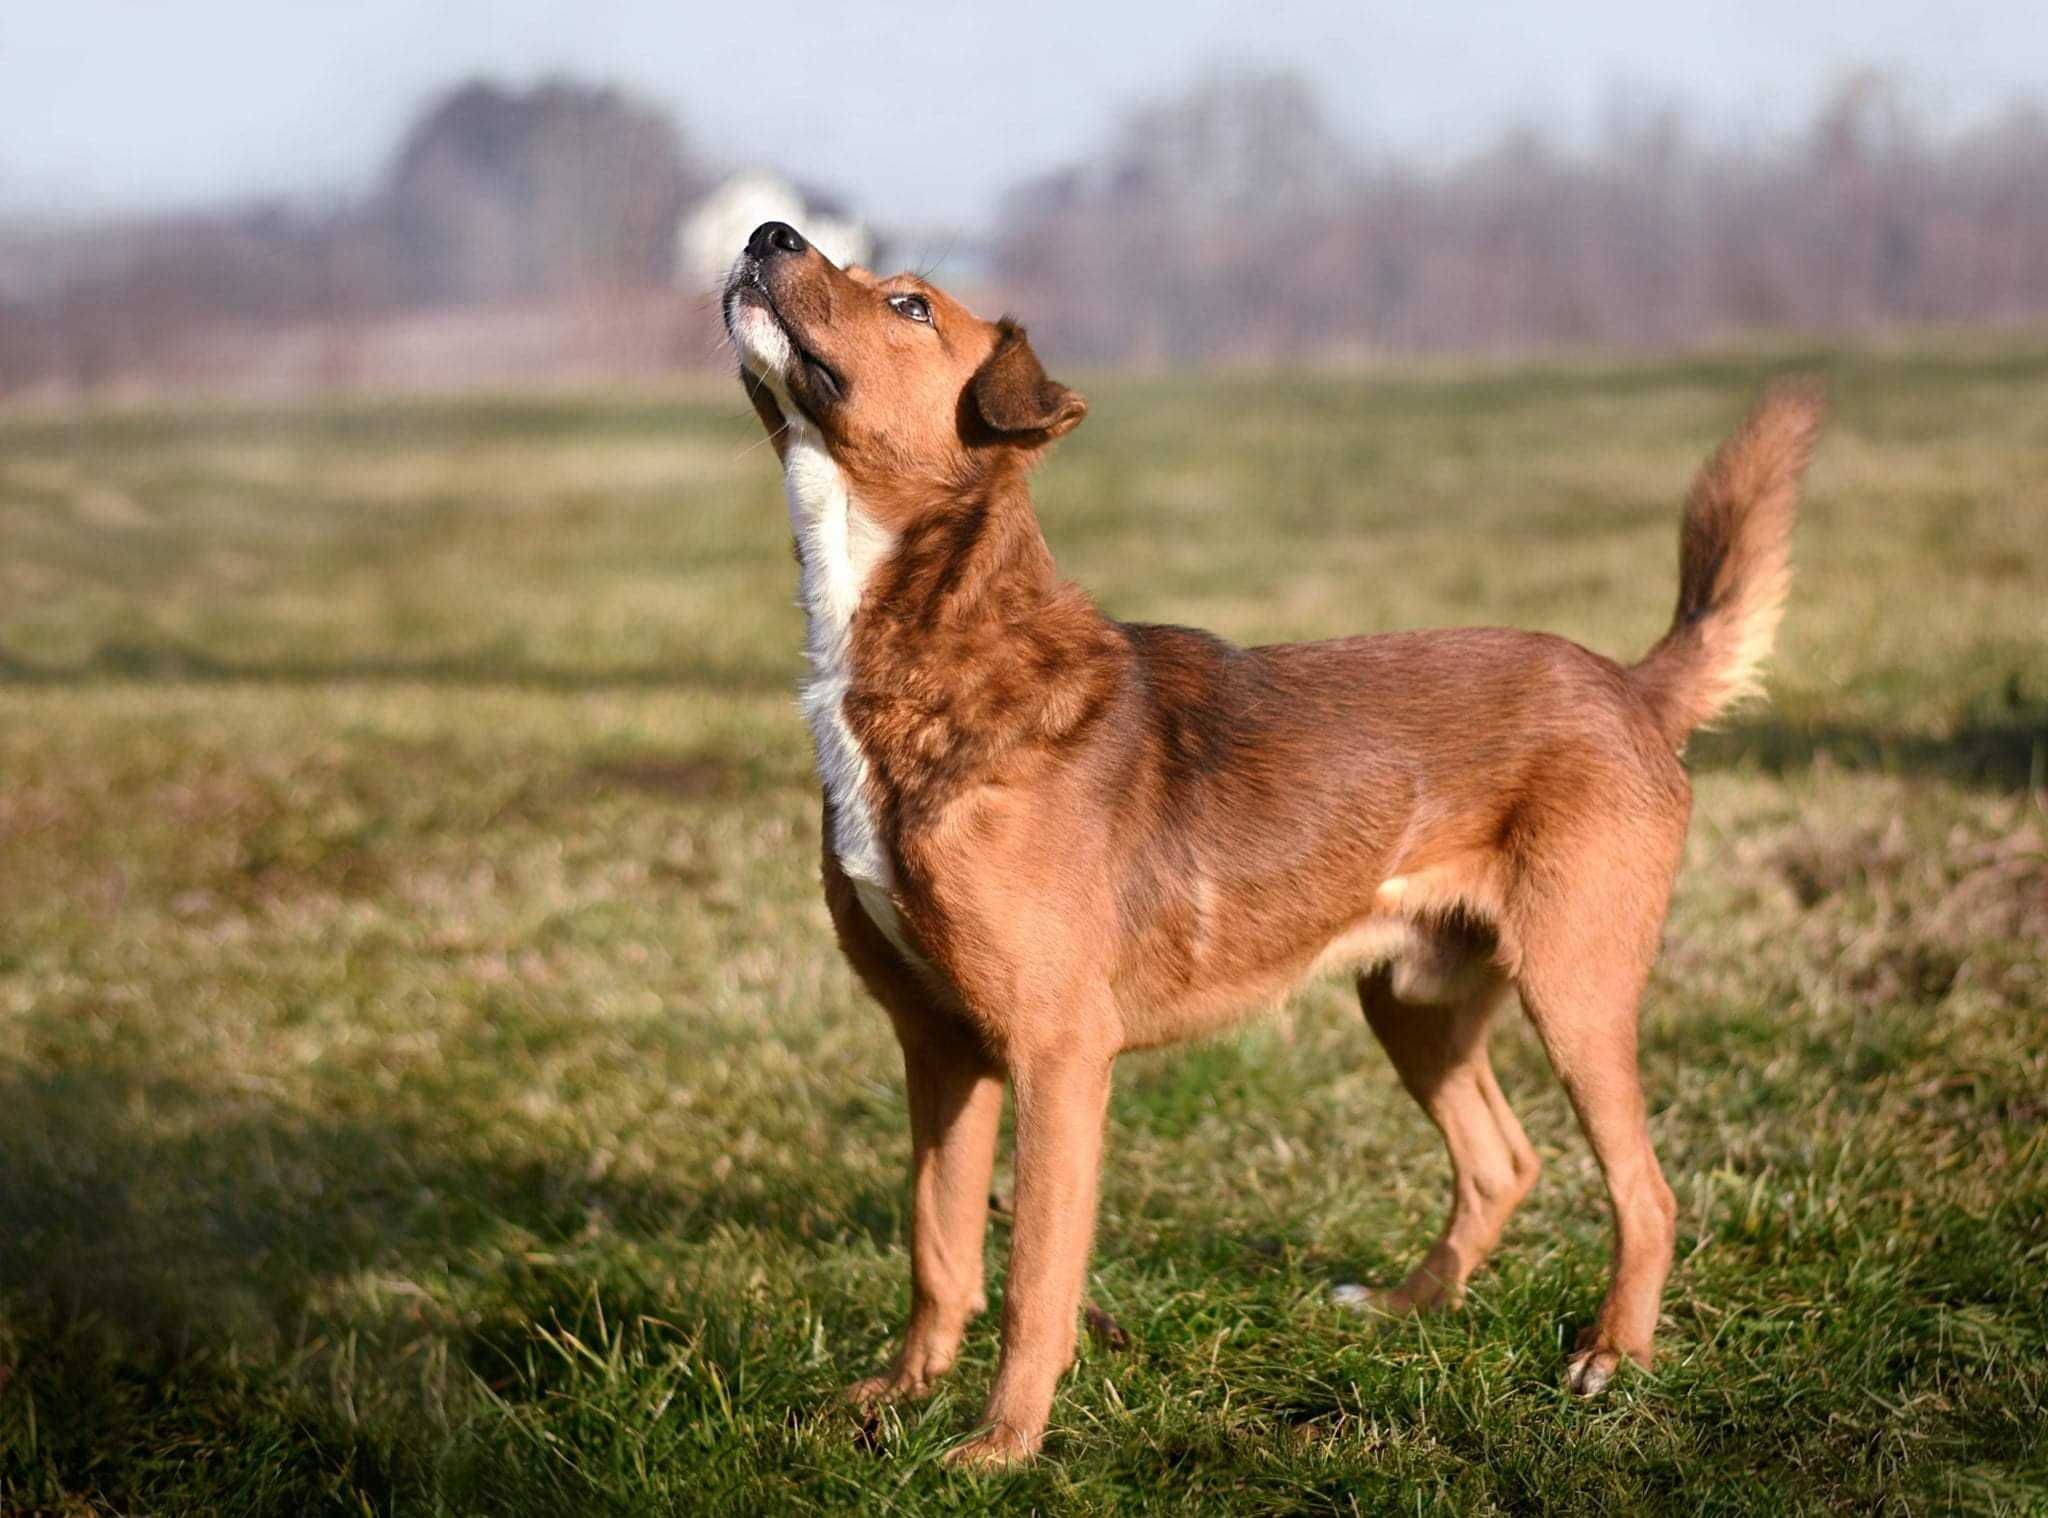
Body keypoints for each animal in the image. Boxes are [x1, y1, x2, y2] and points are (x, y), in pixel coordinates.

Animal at [720, 219, 1826, 1458]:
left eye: (908, 305)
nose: (765, 233)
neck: (925, 650)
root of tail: (1630, 688)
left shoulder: (1057, 1055)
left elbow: (1032, 1276)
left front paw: (1001, 1447)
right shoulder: (939, 1045)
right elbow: (938, 1246)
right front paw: (901, 1396)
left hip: (1573, 989)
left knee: (1644, 1190)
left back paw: (1611, 1354)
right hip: (1413, 1000)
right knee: (1501, 1162)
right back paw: (1406, 1307)